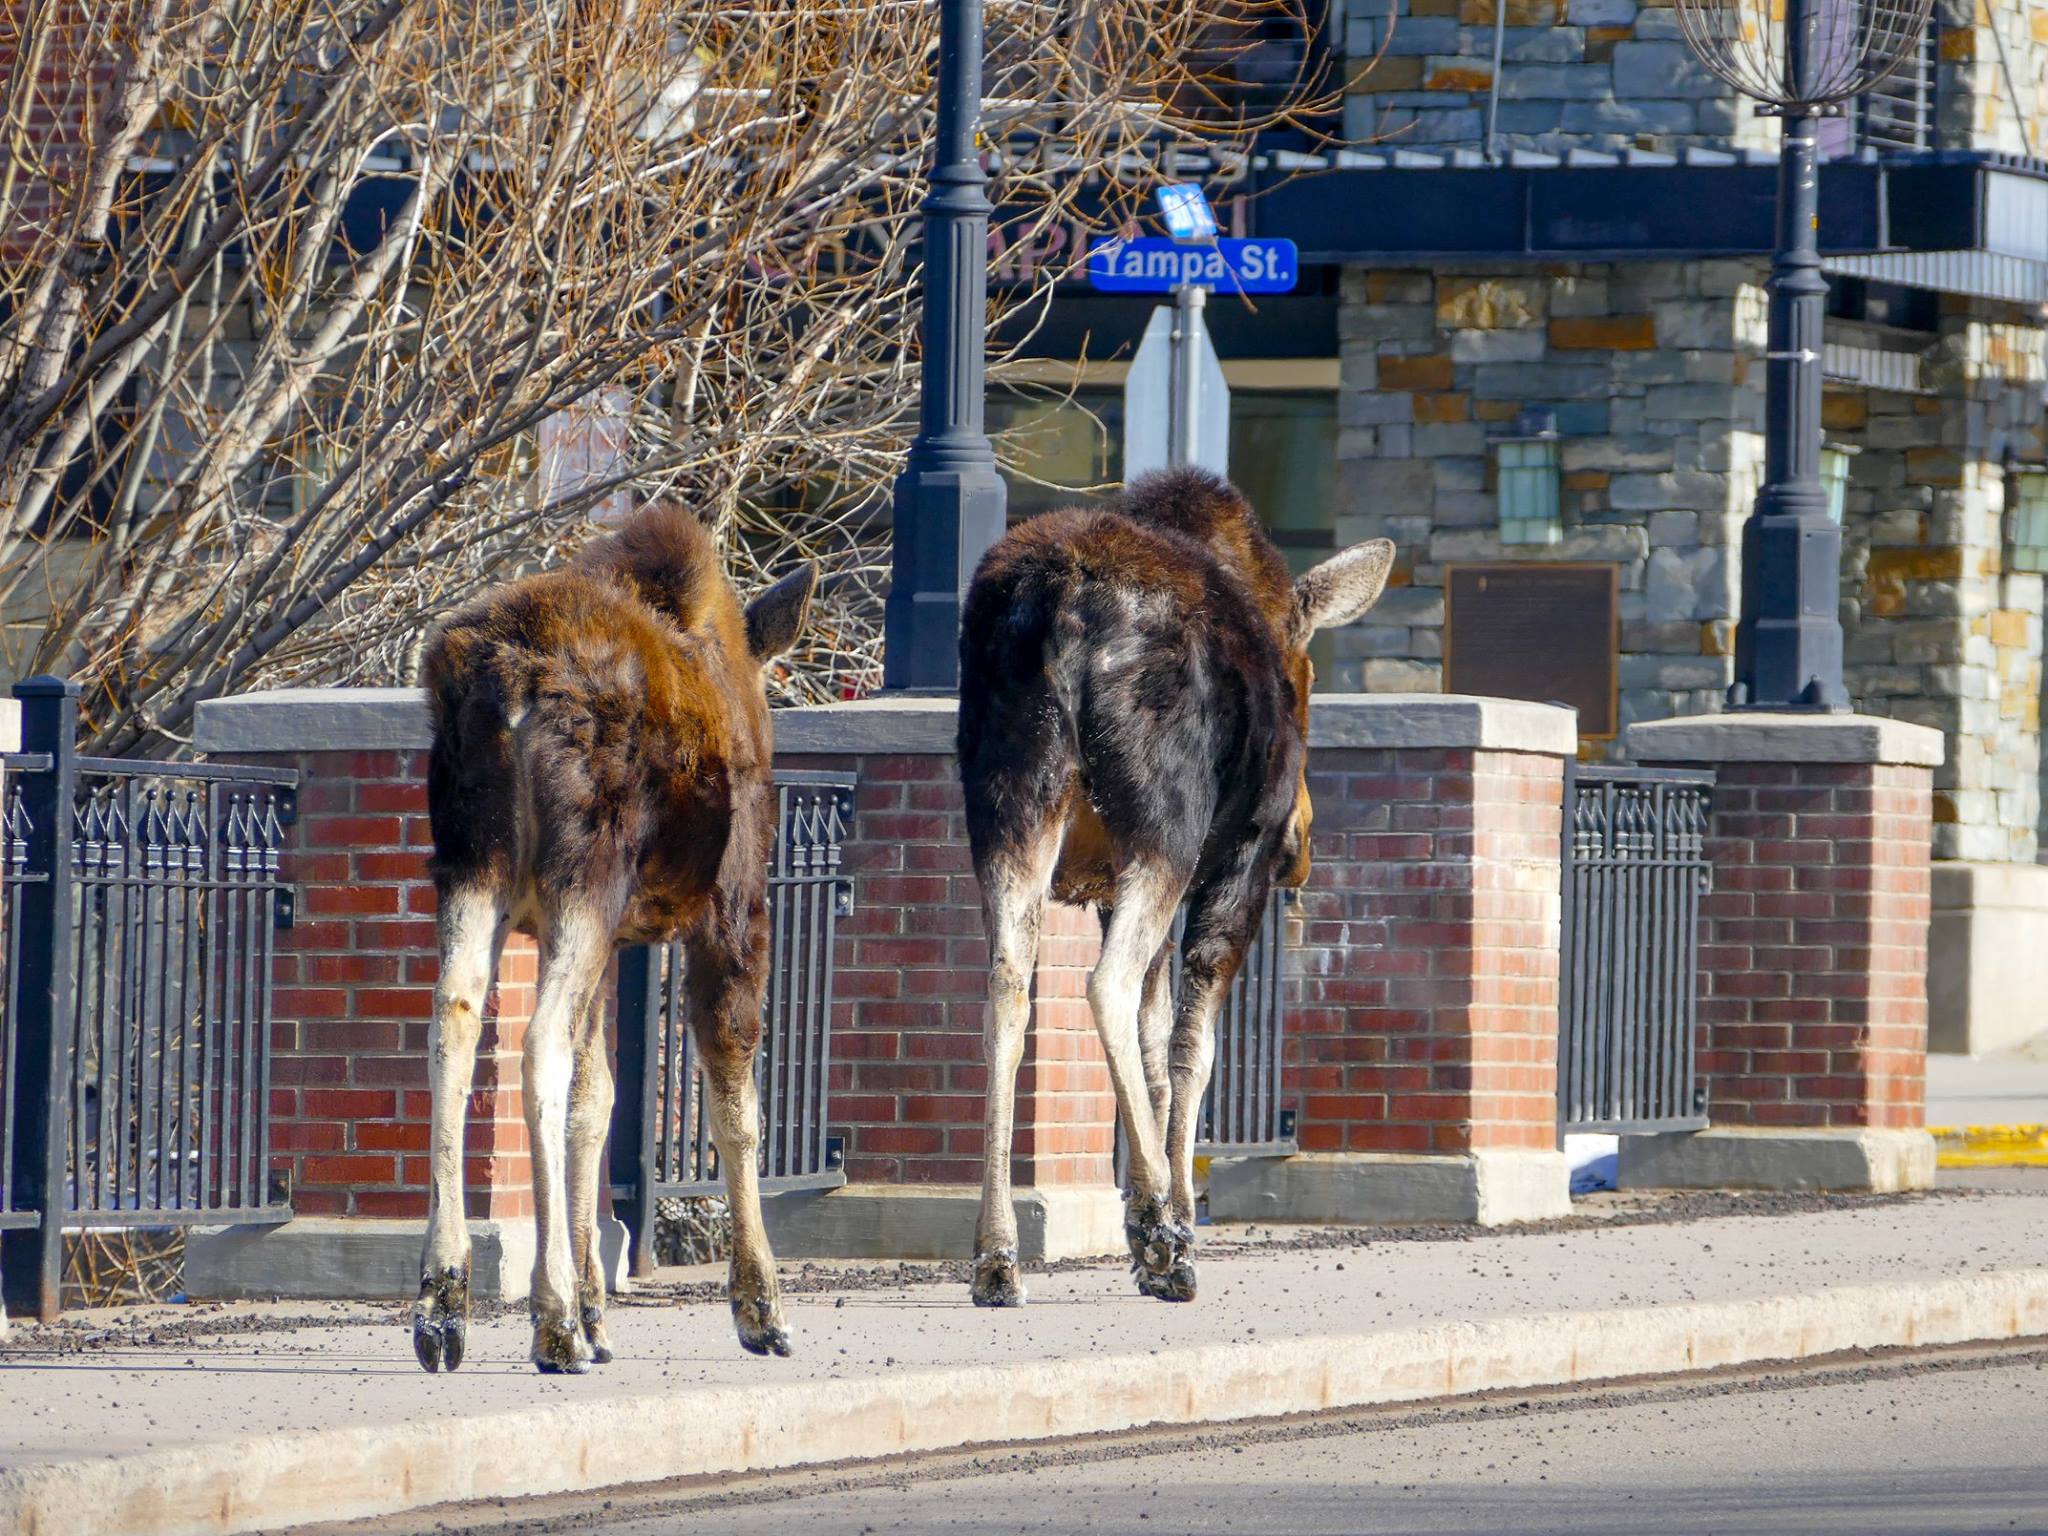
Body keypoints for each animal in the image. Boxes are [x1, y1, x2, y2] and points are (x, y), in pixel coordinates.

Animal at [410, 501, 814, 1374]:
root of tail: (511, 686)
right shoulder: (733, 909)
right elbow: (736, 1107)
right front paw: (760, 1306)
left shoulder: (611, 939)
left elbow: (596, 1103)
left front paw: (601, 1312)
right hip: (585, 876)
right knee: (537, 1046)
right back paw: (551, 1318)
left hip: (475, 868)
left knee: (452, 1023)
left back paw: (443, 1305)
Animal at [956, 467, 1394, 1308]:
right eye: (1309, 676)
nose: (1304, 844)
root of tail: (1061, 603)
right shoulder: (1241, 862)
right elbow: (1193, 1045)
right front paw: (1170, 1215)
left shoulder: (1104, 883)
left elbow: (1155, 1040)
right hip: (1169, 828)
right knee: (1105, 986)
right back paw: (1163, 1230)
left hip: (1010, 805)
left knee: (1007, 988)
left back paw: (997, 1254)